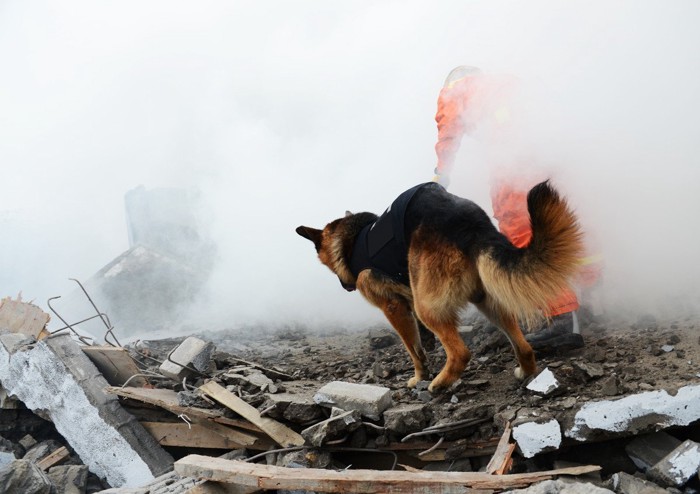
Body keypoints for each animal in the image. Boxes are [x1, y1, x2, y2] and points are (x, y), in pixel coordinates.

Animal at [296, 181, 584, 394]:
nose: (346, 286)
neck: (352, 240)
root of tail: (470, 224)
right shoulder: (409, 300)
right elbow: (421, 341)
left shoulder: (394, 307)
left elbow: (414, 350)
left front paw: (420, 376)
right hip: (487, 301)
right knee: (522, 345)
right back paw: (525, 371)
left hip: (428, 307)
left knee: (460, 352)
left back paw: (440, 383)